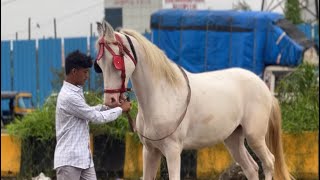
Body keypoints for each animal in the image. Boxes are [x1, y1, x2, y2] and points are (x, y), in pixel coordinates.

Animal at [94, 20, 292, 180]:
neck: (161, 95)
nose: (111, 100)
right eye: (99, 65)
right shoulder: (150, 151)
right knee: (251, 168)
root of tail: (264, 87)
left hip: (255, 137)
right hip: (233, 139)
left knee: (269, 162)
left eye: (116, 61)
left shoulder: (173, 150)